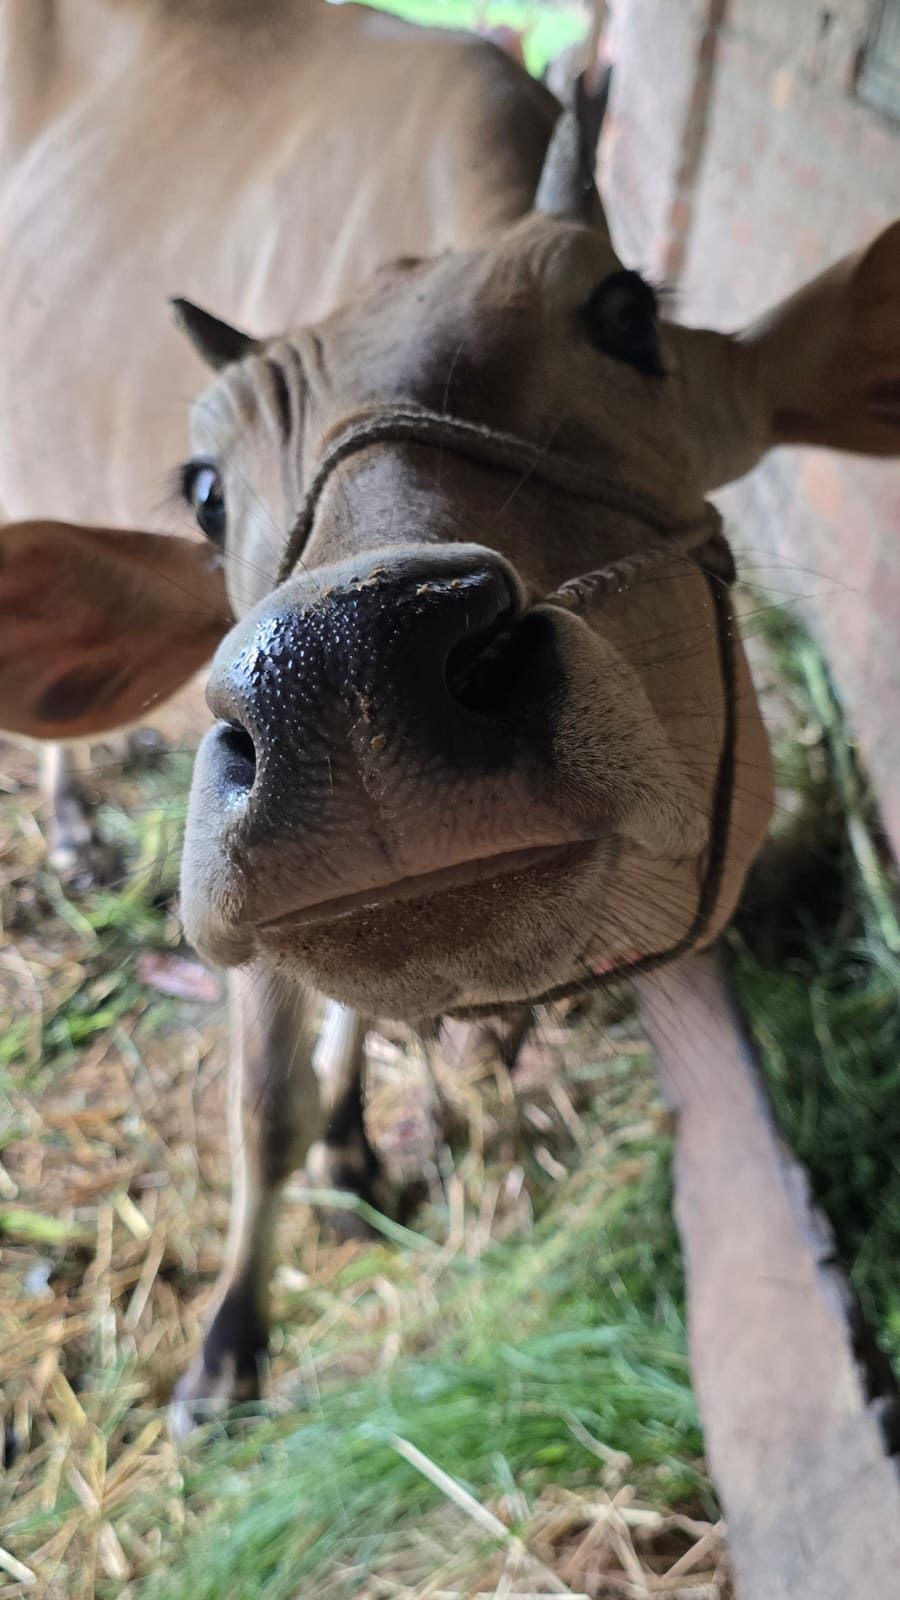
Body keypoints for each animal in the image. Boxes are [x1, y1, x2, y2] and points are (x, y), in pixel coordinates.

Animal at [1, 0, 899, 1428]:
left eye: (625, 311)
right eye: (202, 487)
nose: (337, 676)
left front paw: (357, 1140)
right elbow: (261, 1104)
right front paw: (228, 1342)